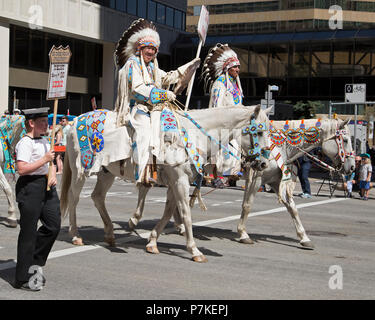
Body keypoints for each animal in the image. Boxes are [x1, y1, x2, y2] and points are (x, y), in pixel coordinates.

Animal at [60, 105, 272, 262]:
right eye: (259, 132)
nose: (264, 163)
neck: (193, 135)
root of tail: (74, 122)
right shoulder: (180, 181)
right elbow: (185, 214)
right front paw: (194, 250)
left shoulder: (175, 182)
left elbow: (169, 211)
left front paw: (152, 242)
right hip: (80, 170)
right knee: (73, 198)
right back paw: (76, 235)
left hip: (107, 173)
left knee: (97, 197)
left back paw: (110, 234)